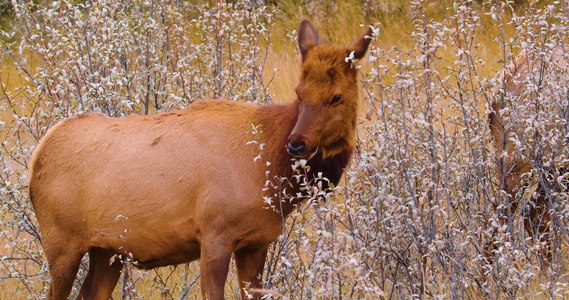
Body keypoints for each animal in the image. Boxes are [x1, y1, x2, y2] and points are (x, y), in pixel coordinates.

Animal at [27, 19, 372, 298]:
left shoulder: (256, 242)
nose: (297, 145)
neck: (273, 172)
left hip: (107, 250)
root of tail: (37, 155)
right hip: (60, 243)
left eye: (336, 96)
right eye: (299, 93)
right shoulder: (214, 234)